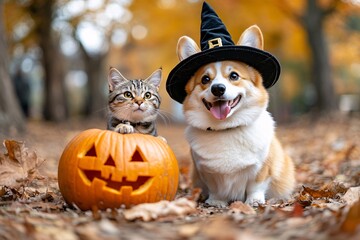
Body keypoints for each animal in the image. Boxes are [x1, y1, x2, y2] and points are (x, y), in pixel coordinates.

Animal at [178, 25, 296, 207]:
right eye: (205, 79)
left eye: (234, 76)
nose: (218, 88)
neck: (226, 128)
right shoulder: (205, 171)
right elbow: (215, 188)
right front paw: (216, 201)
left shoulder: (262, 167)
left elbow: (256, 185)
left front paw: (254, 201)